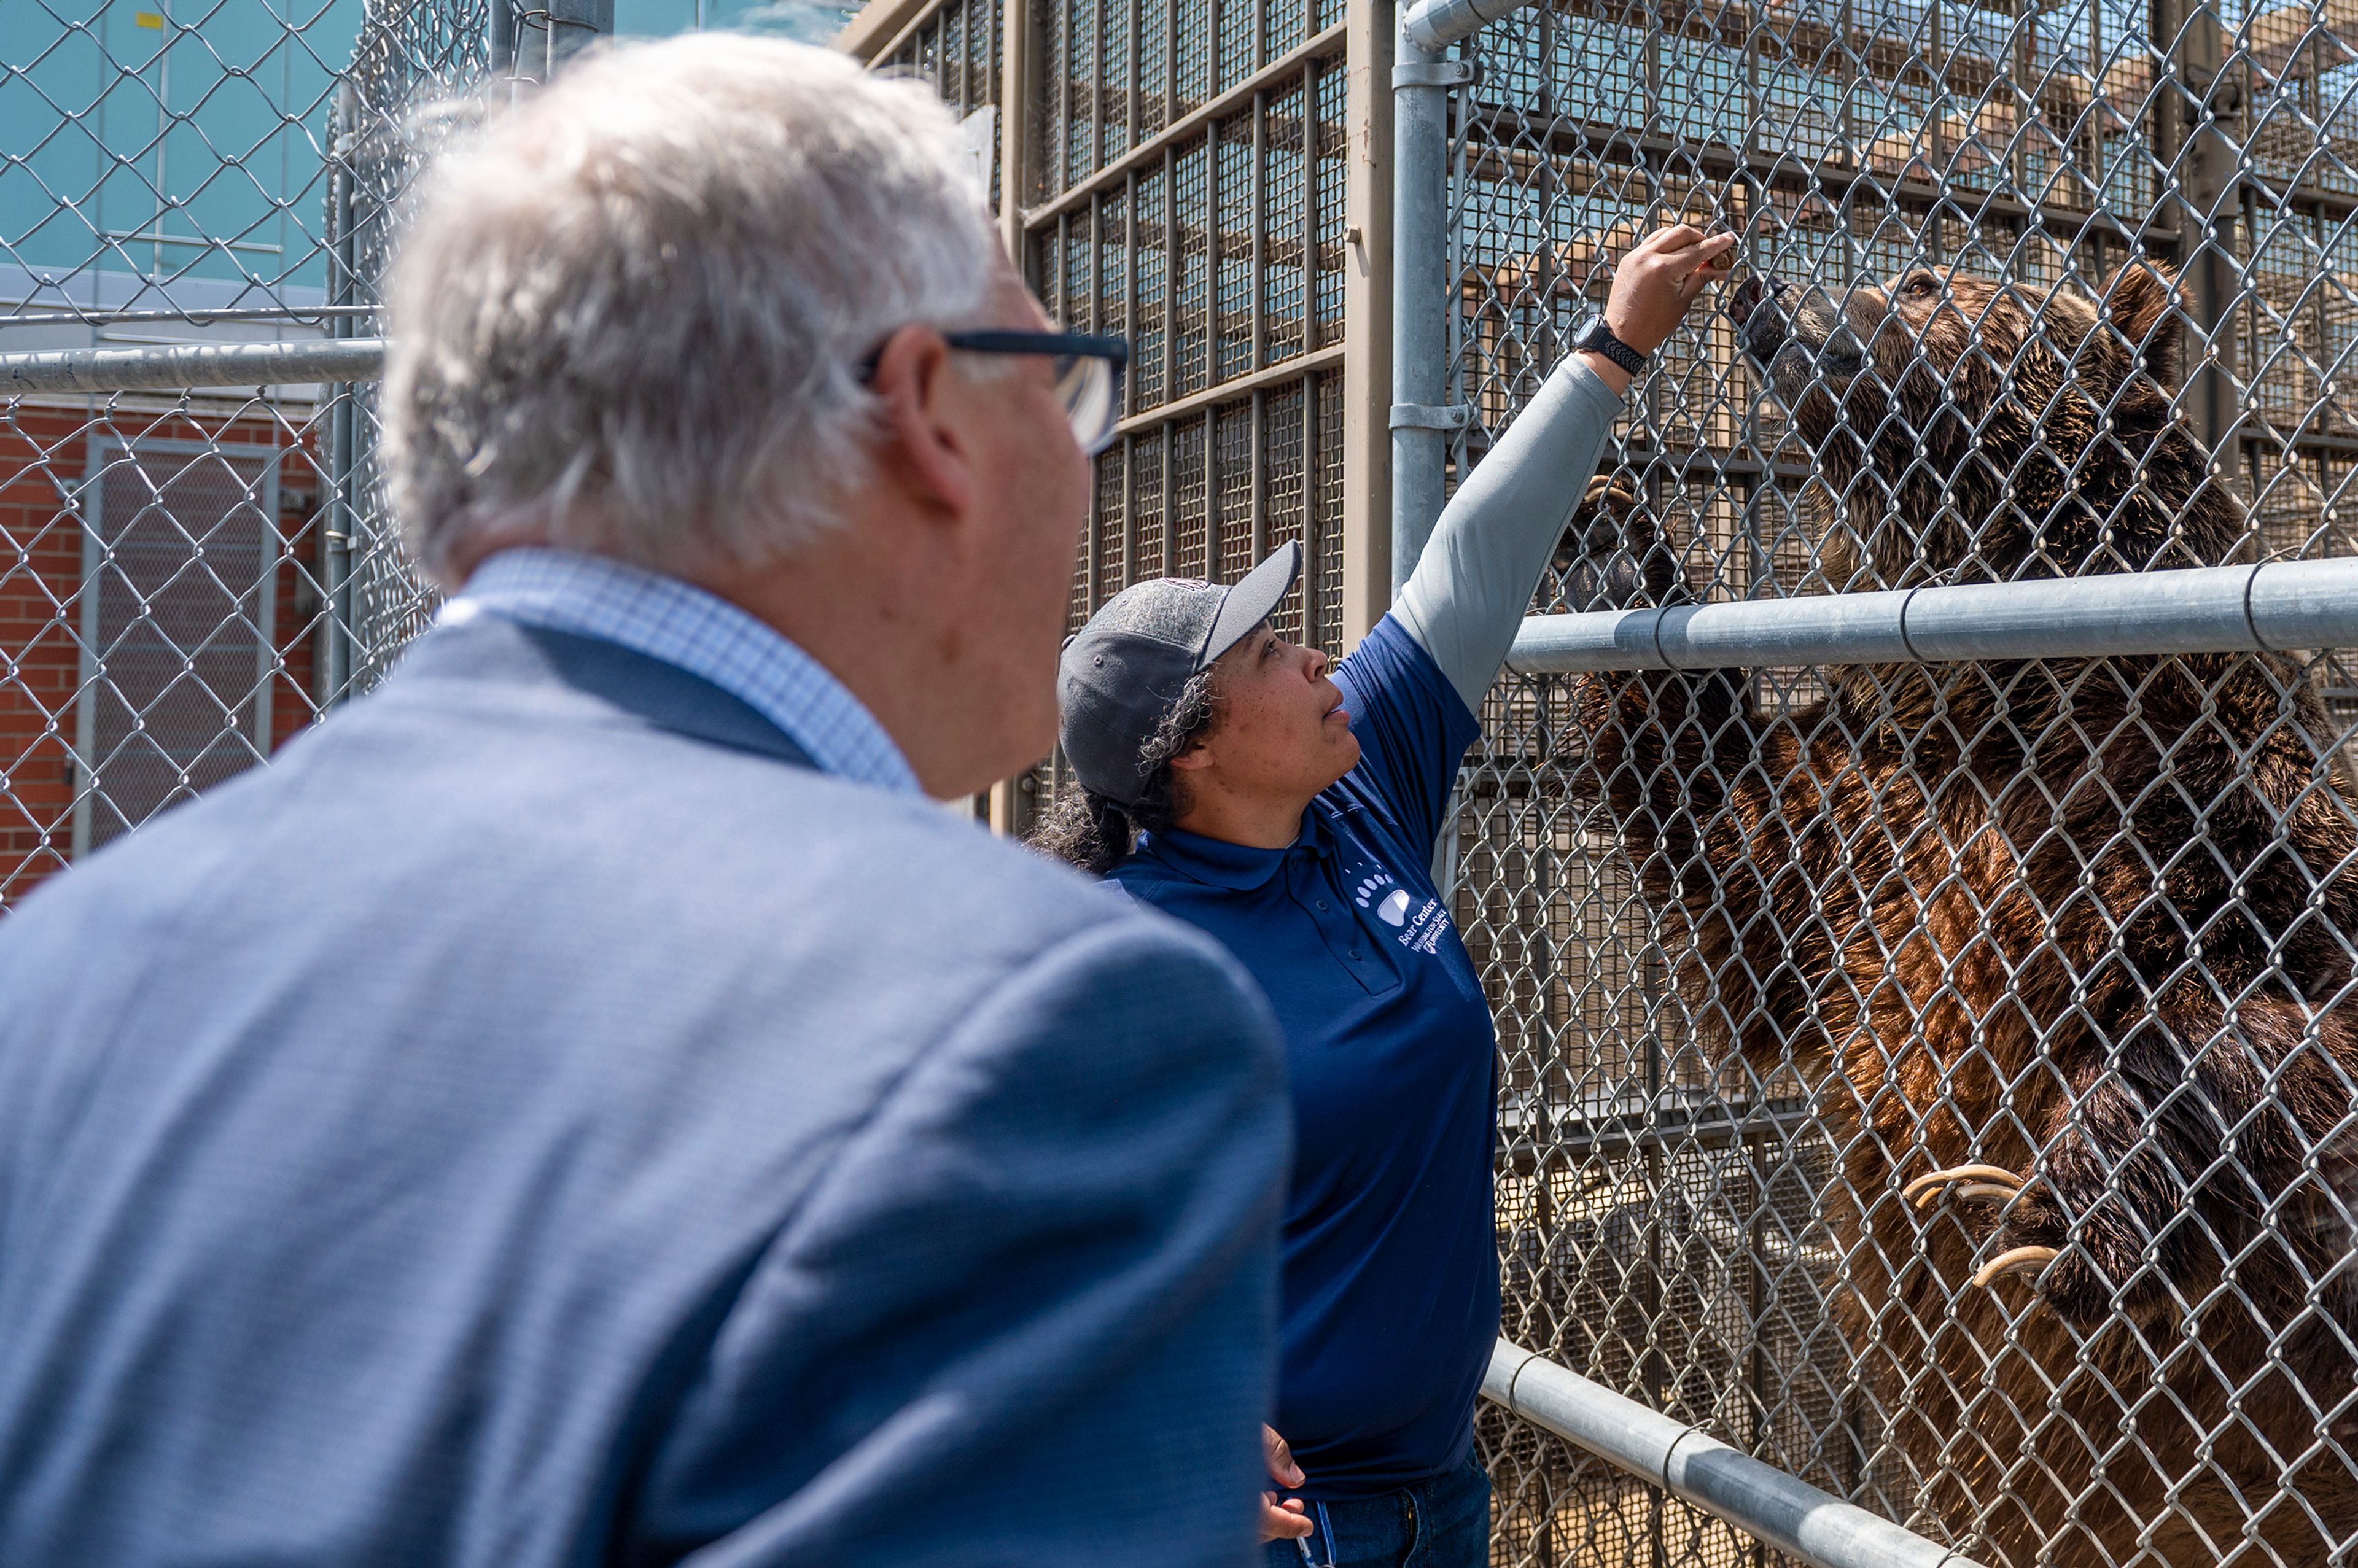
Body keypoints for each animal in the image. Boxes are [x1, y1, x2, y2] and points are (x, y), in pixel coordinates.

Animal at [1565, 268, 2358, 1566]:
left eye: (1927, 280)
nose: (1771, 290)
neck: (2020, 706)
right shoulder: (1885, 844)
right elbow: (1738, 859)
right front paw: (1612, 547)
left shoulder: (2208, 833)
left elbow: (2289, 1037)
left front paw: (2048, 1202)